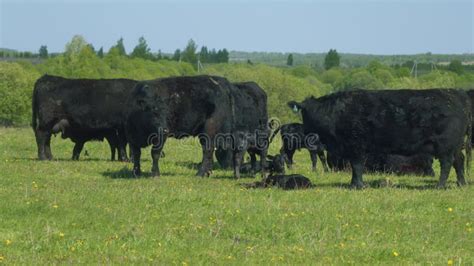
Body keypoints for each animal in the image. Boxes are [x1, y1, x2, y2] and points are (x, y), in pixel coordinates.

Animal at [288, 89, 470, 189]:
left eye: (305, 113)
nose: (305, 130)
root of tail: (456, 97)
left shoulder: (356, 146)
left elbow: (357, 166)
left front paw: (357, 186)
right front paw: (353, 184)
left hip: (445, 146)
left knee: (447, 164)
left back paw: (440, 185)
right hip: (455, 146)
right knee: (459, 161)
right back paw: (461, 183)